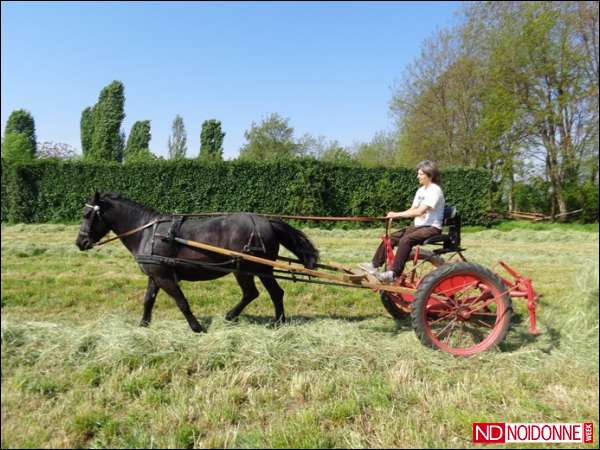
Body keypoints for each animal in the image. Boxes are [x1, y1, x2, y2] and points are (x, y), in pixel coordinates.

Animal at [75, 192, 318, 332]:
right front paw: (143, 325)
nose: (80, 242)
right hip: (250, 269)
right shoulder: (156, 275)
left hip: (251, 268)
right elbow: (148, 300)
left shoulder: (165, 278)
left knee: (266, 293)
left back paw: (272, 322)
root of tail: (266, 222)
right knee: (260, 293)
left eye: (87, 215)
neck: (148, 232)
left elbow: (182, 302)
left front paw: (196, 327)